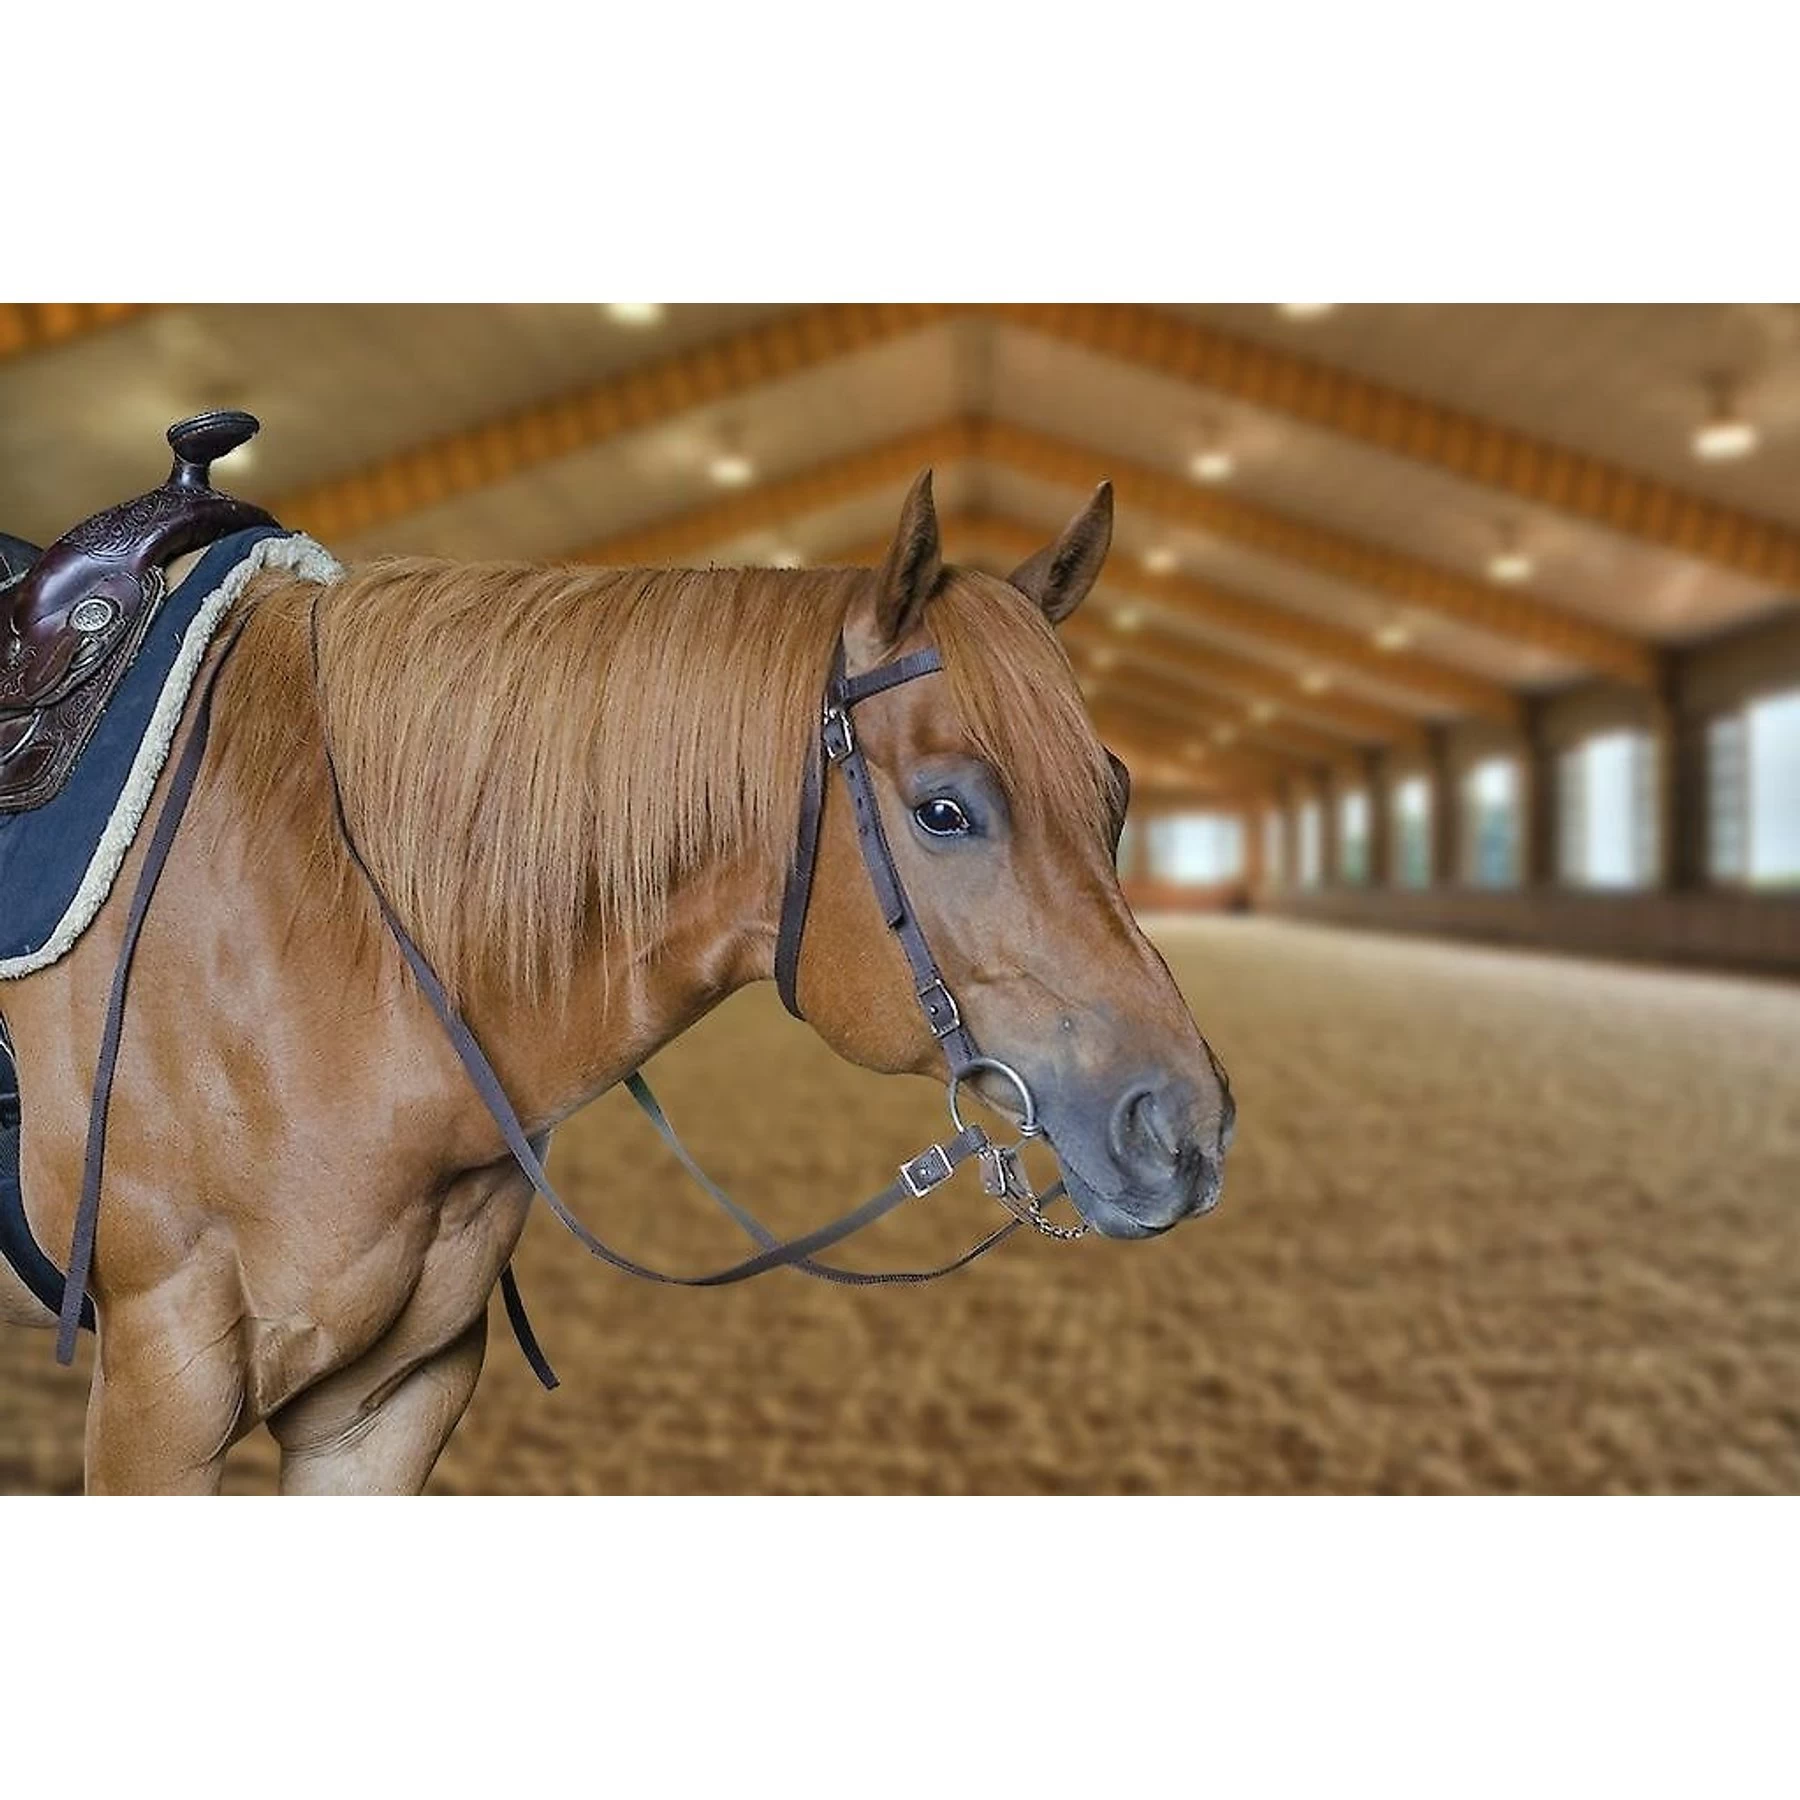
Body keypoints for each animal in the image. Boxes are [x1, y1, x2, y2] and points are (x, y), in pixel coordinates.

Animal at [0, 470, 1234, 1493]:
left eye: (1116, 792)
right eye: (943, 810)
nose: (1185, 1129)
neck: (318, 912)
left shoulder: (380, 1405)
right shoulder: (166, 1394)